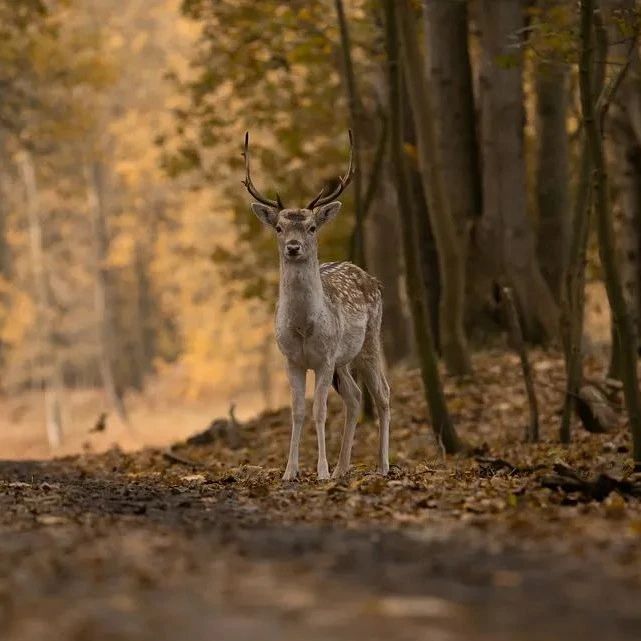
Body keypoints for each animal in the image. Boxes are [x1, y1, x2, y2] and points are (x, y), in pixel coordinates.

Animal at [241, 131, 388, 480]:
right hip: (344, 360)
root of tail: (372, 279)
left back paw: (383, 465)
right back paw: (342, 469)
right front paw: (290, 471)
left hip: (370, 341)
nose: (294, 247)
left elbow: (320, 411)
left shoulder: (324, 358)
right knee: (355, 397)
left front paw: (320, 471)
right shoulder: (291, 359)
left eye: (311, 227)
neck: (303, 327)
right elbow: (297, 411)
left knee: (383, 395)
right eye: (279, 227)